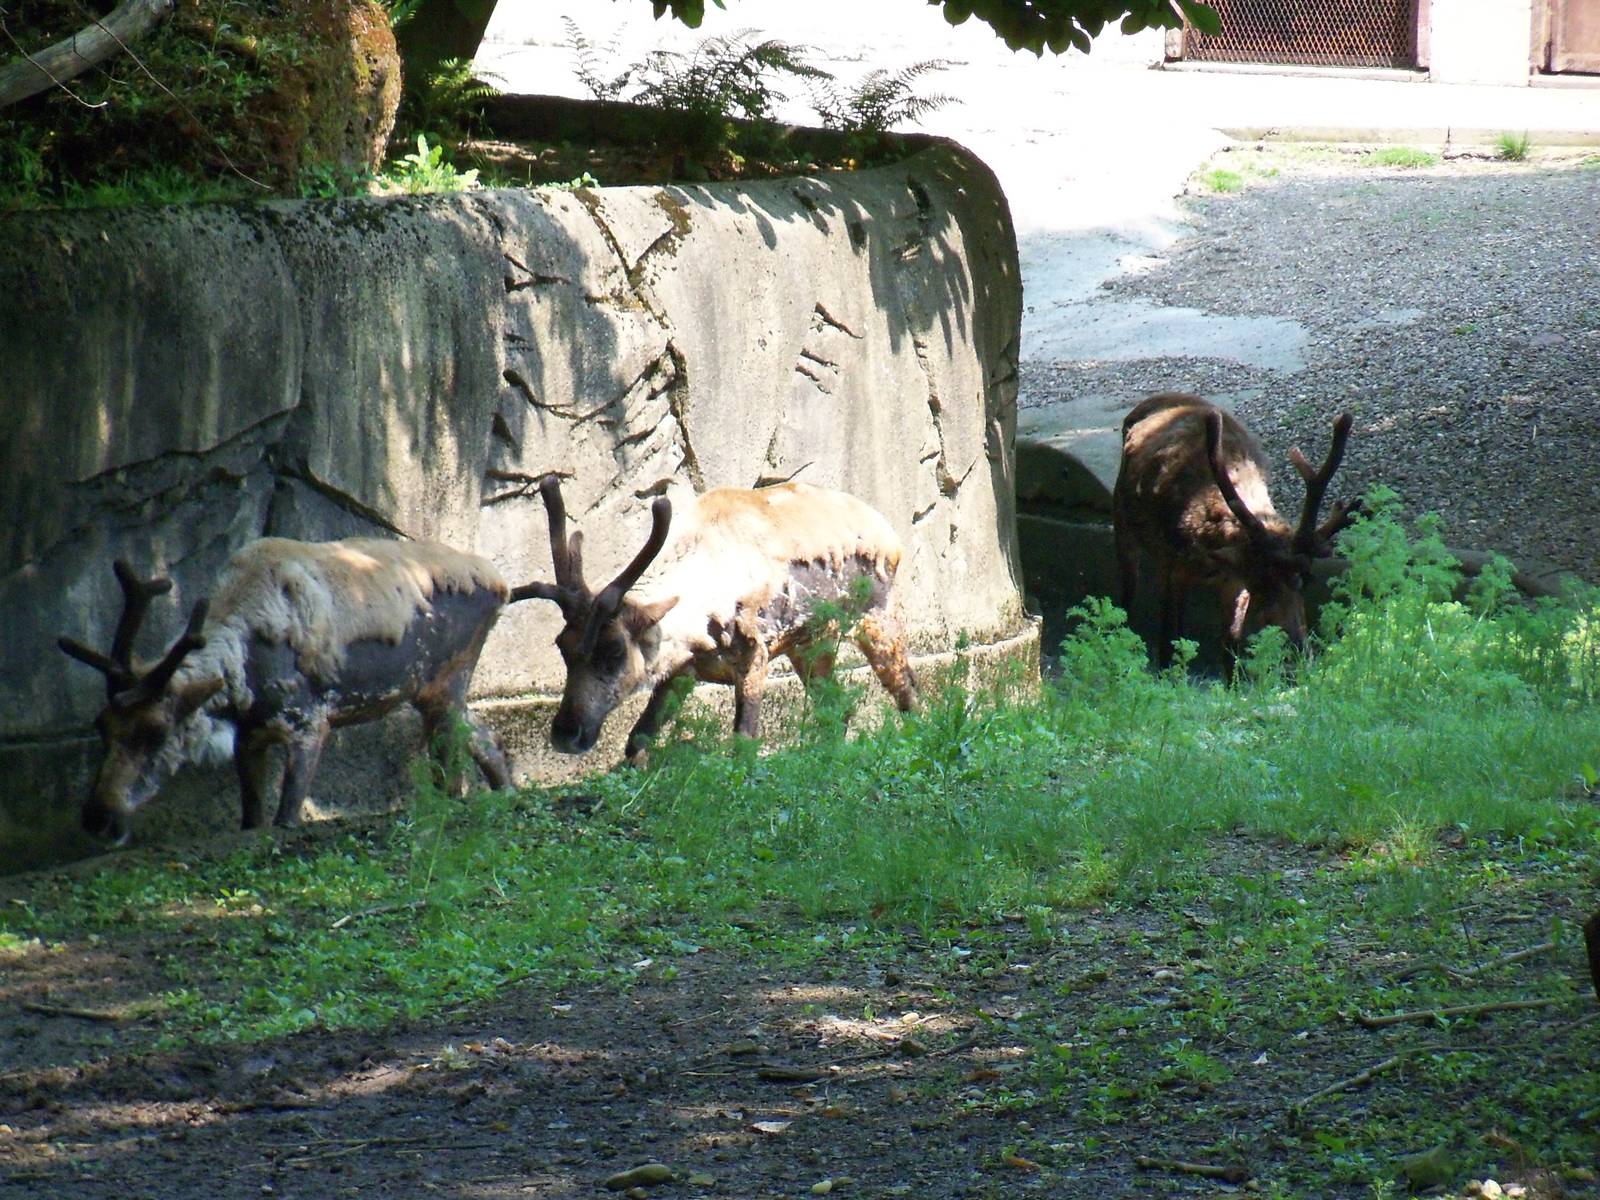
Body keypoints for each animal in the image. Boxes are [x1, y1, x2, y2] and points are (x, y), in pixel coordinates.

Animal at [58, 538, 513, 845]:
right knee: (481, 743)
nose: (98, 816)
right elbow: (251, 819)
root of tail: (502, 585)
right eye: (102, 726)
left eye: (156, 730)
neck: (245, 681)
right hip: (433, 693)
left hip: (449, 679)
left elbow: (286, 818)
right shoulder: (249, 738)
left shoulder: (308, 723)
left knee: (459, 757)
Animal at [509, 476, 919, 760]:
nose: (566, 733)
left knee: (908, 694)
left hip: (878, 619)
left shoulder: (756, 654)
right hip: (810, 644)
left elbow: (743, 742)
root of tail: (890, 532)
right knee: (838, 707)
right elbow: (637, 738)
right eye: (562, 646)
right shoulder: (680, 671)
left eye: (614, 651)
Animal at [1111, 392, 1359, 671]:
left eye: (1306, 579)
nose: (1297, 648)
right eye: (1261, 584)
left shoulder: (1234, 583)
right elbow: (1168, 639)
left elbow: (1230, 650)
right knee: (1129, 596)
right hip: (1122, 519)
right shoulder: (1172, 562)